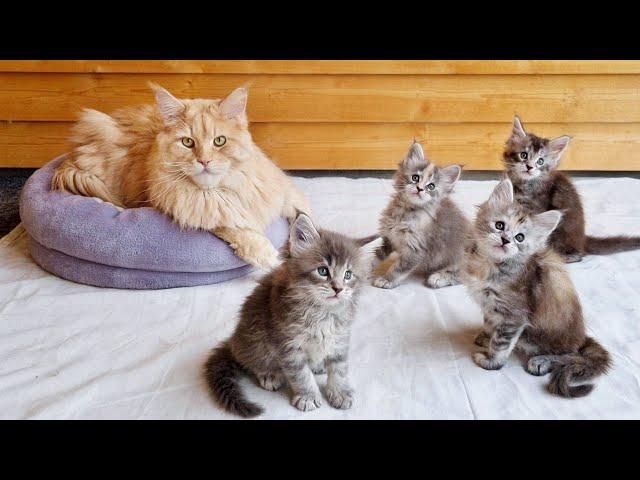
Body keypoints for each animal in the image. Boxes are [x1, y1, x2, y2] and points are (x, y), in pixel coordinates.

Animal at [51, 84, 312, 268]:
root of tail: (70, 156)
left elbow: (305, 214)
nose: (204, 161)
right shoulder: (195, 211)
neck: (221, 191)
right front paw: (267, 255)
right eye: (188, 142)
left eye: (219, 141)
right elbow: (235, 228)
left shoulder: (283, 190)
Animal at [205, 214, 382, 416]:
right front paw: (308, 396)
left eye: (348, 275)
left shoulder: (340, 338)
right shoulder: (287, 344)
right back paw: (269, 375)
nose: (338, 289)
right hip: (254, 339)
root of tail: (233, 341)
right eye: (323, 271)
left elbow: (339, 368)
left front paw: (340, 392)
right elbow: (301, 375)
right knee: (251, 361)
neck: (322, 313)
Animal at [372, 139, 472, 288]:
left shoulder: (415, 249)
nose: (420, 189)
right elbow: (376, 255)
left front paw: (387, 279)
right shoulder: (389, 238)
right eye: (415, 178)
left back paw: (439, 277)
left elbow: (399, 268)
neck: (405, 212)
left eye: (431, 186)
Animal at [462, 179, 612, 398]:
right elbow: (490, 324)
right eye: (500, 225)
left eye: (520, 238)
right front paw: (486, 336)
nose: (505, 240)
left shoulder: (514, 315)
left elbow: (501, 343)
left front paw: (490, 362)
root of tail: (581, 337)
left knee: (571, 354)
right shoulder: (489, 305)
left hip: (545, 337)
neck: (490, 265)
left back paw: (542, 361)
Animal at [504, 115, 640, 262]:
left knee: (577, 255)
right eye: (523, 155)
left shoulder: (536, 208)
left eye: (540, 161)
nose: (529, 167)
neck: (523, 184)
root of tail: (582, 240)